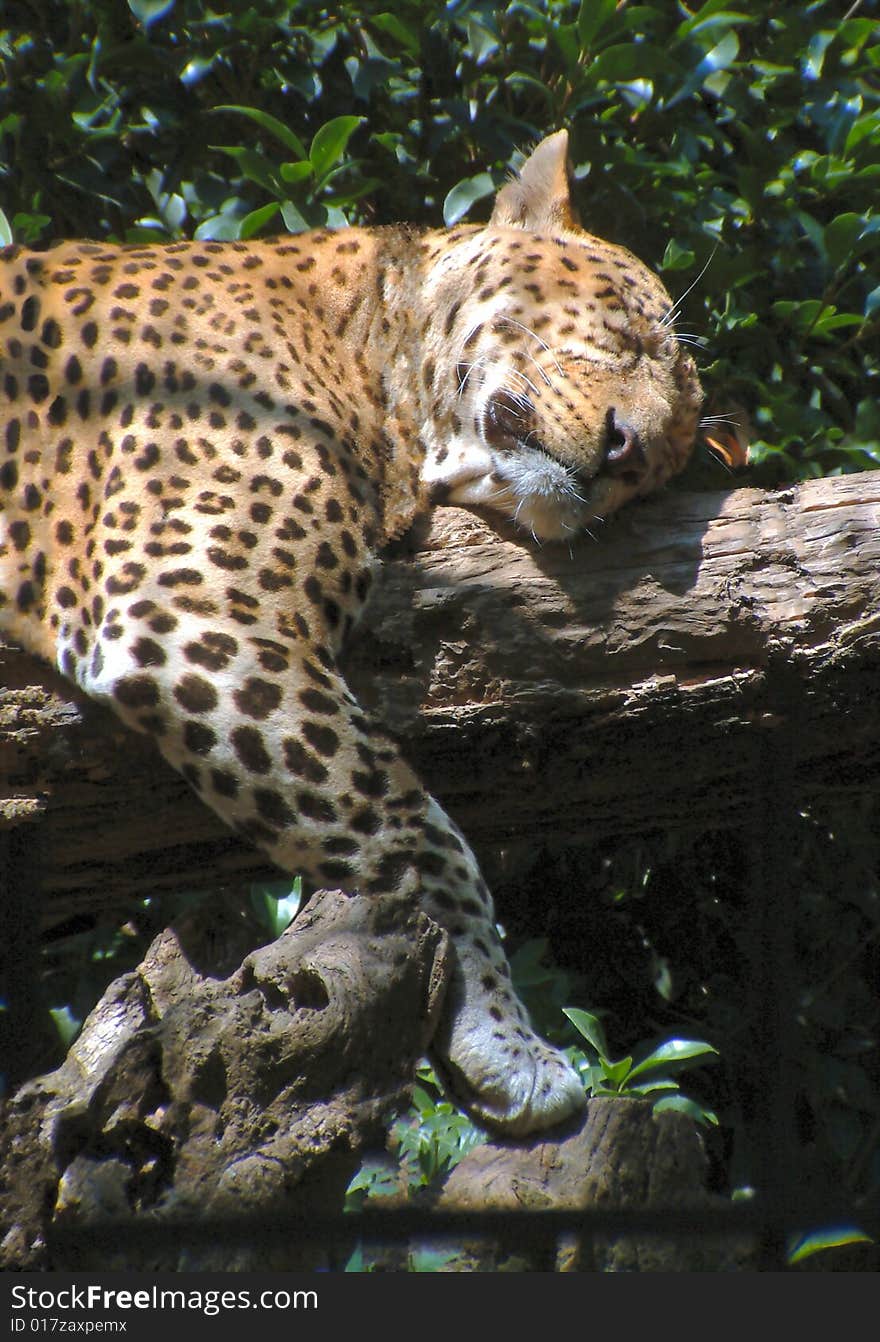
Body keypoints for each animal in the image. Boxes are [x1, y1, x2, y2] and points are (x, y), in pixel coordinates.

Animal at [0, 133, 702, 1132]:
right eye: (629, 335)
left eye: (673, 455)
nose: (629, 453)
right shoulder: (194, 607)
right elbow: (420, 837)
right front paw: (507, 1038)